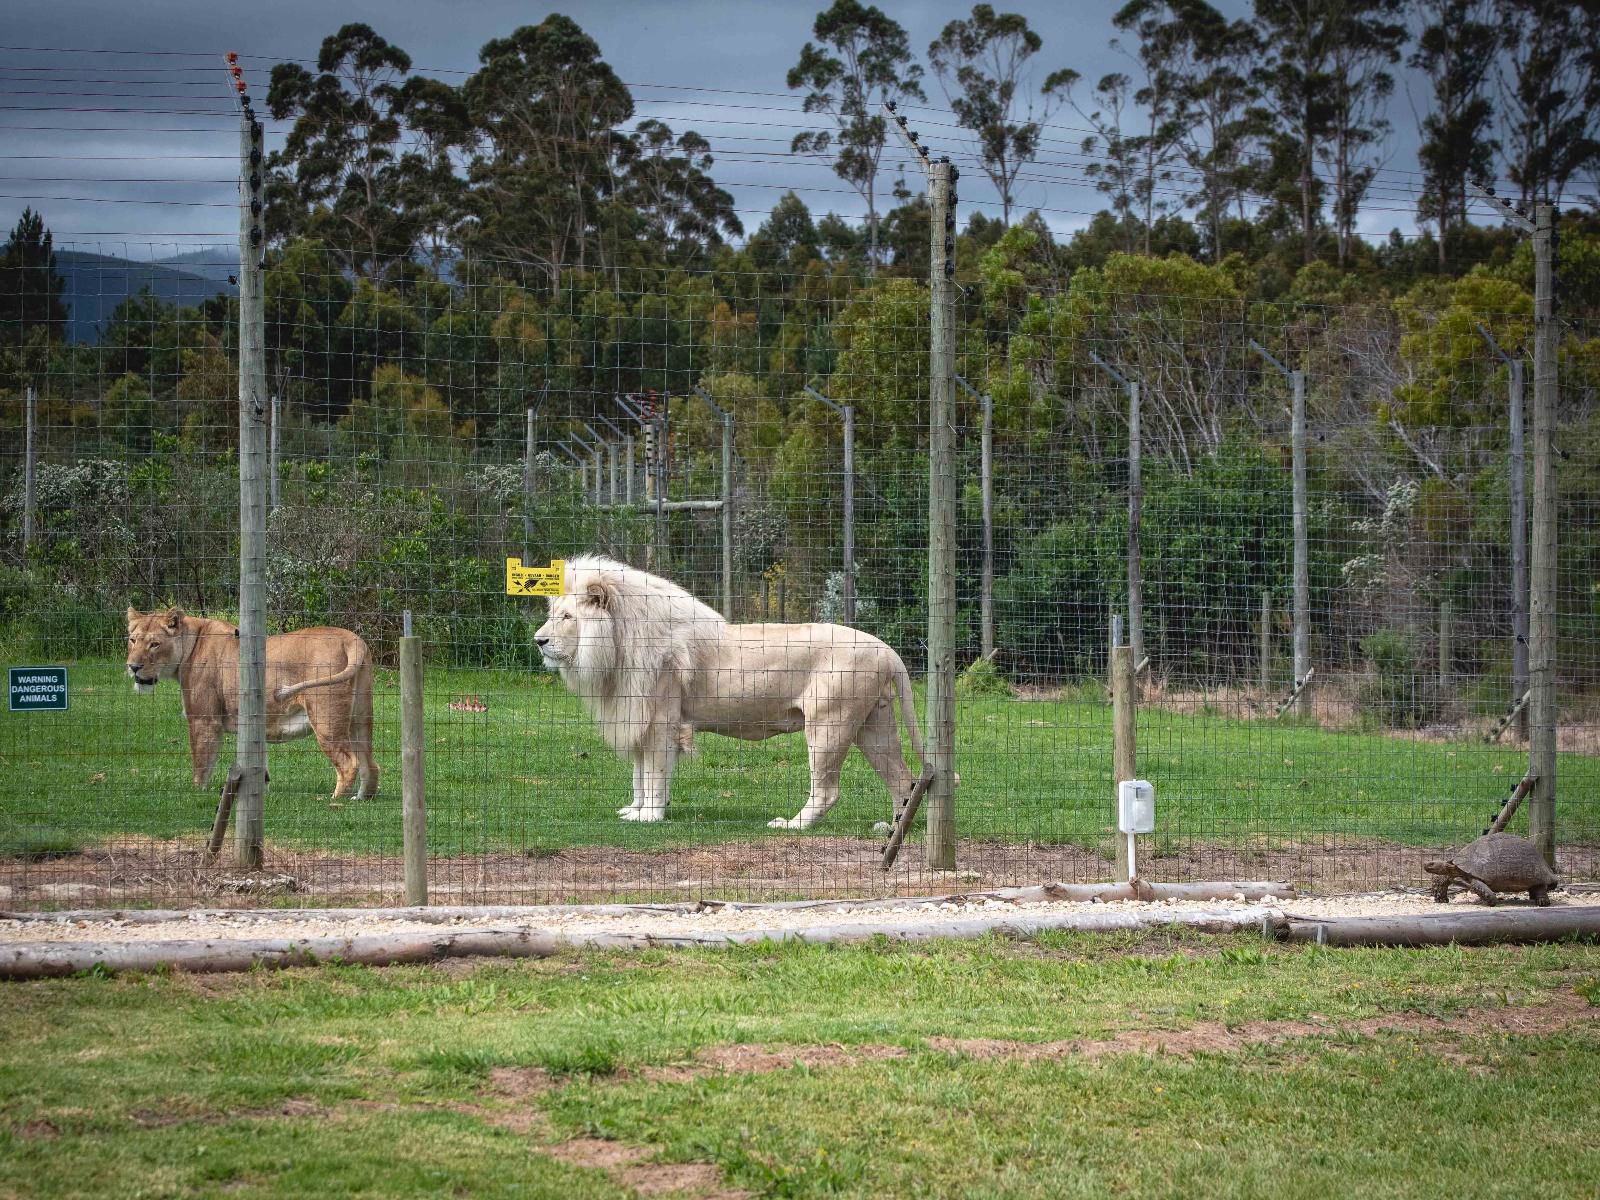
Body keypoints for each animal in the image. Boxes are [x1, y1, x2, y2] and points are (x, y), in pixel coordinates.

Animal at [126, 607, 378, 800]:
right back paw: (362, 798)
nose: (133, 667)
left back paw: (335, 800)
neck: (191, 645)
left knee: (349, 763)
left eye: (154, 644)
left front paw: (197, 792)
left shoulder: (203, 720)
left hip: (325, 719)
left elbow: (202, 761)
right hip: (360, 718)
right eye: (132, 640)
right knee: (370, 762)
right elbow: (259, 766)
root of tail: (352, 639)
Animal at [532, 555, 927, 829]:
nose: (538, 641)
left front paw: (651, 817)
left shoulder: (660, 719)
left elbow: (654, 773)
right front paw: (636, 810)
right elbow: (639, 775)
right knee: (902, 779)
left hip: (830, 724)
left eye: (567, 618)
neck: (618, 643)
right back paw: (893, 829)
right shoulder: (639, 718)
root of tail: (885, 648)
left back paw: (792, 825)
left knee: (828, 790)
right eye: (555, 615)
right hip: (873, 723)